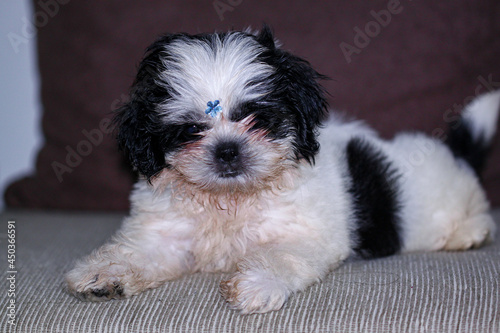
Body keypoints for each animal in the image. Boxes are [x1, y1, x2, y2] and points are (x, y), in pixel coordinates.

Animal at [64, 27, 498, 312]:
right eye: (190, 130)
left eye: (257, 118)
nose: (227, 150)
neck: (232, 200)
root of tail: (453, 152)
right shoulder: (166, 228)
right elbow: (142, 248)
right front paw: (104, 273)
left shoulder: (308, 230)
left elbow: (282, 254)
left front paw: (254, 283)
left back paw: (468, 233)